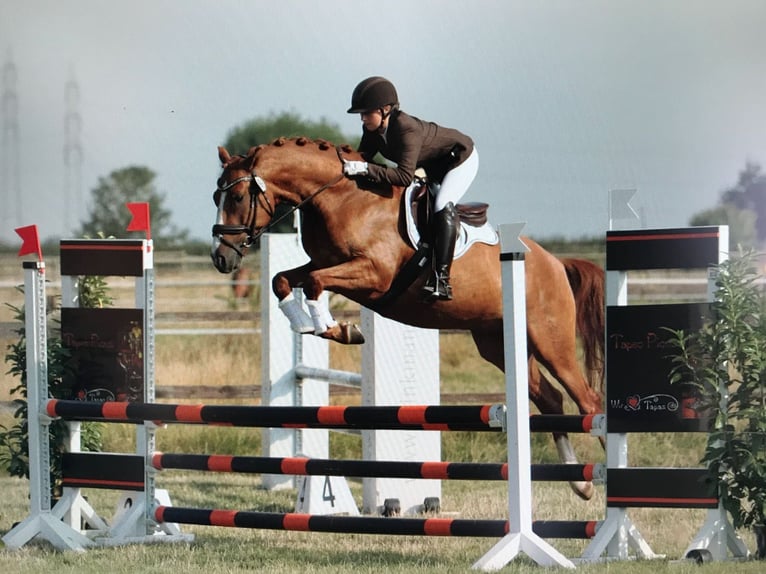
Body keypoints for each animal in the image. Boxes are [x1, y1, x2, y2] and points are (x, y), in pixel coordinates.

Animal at [210, 137, 608, 502]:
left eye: (238, 197)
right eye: (217, 198)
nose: (221, 259)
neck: (342, 198)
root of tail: (554, 262)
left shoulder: (372, 274)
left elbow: (313, 283)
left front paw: (338, 328)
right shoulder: (324, 264)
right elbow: (283, 280)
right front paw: (312, 325)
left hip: (549, 339)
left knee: (588, 400)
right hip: (498, 343)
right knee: (551, 399)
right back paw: (581, 483)